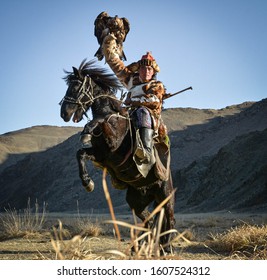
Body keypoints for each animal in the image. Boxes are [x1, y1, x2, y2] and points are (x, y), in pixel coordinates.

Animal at [60, 59, 176, 252]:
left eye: (75, 87)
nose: (64, 113)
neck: (112, 116)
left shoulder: (113, 144)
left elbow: (99, 122)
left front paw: (87, 132)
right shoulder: (102, 155)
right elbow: (80, 154)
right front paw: (88, 183)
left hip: (165, 196)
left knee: (169, 220)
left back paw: (166, 248)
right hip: (136, 201)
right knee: (149, 220)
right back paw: (142, 246)